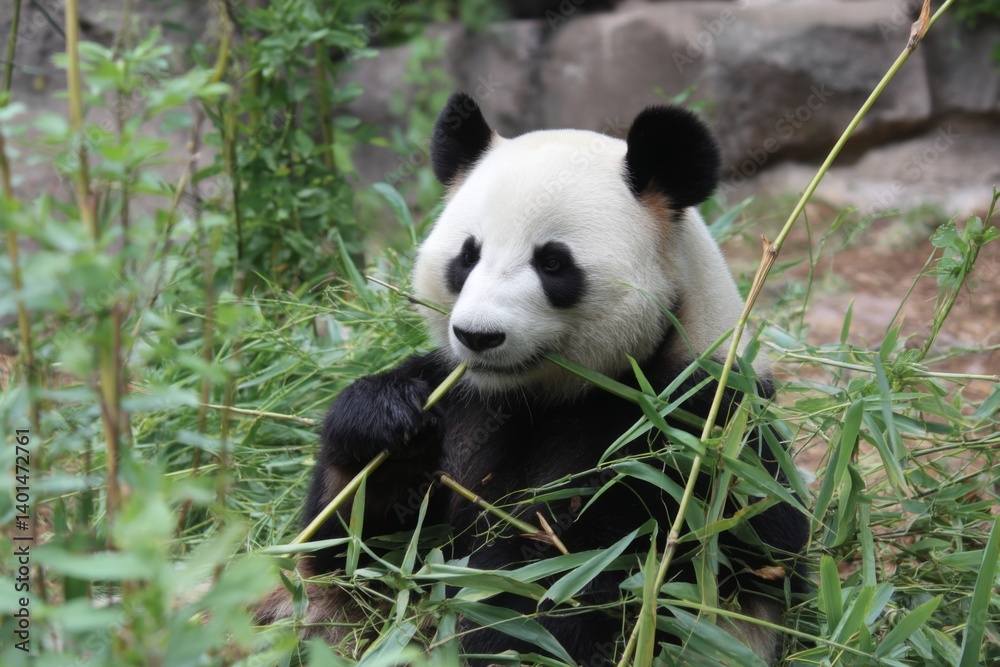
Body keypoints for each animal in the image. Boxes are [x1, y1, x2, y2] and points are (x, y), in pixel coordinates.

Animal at [256, 92, 810, 665]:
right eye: (467, 256)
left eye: (552, 262)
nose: (478, 336)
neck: (537, 395)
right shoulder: (461, 397)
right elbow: (357, 558)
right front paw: (385, 421)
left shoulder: (696, 428)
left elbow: (621, 577)